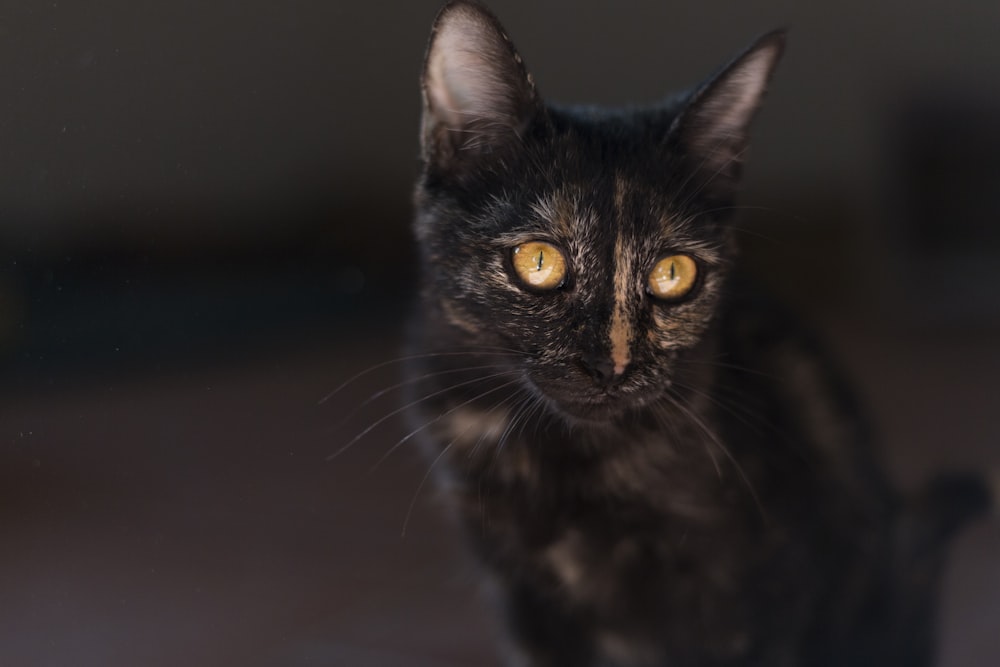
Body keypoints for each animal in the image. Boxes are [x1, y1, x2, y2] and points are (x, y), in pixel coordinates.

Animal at [402, 2, 988, 664]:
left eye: (674, 273)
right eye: (538, 261)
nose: (612, 364)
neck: (564, 458)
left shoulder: (760, 595)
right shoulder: (524, 599)